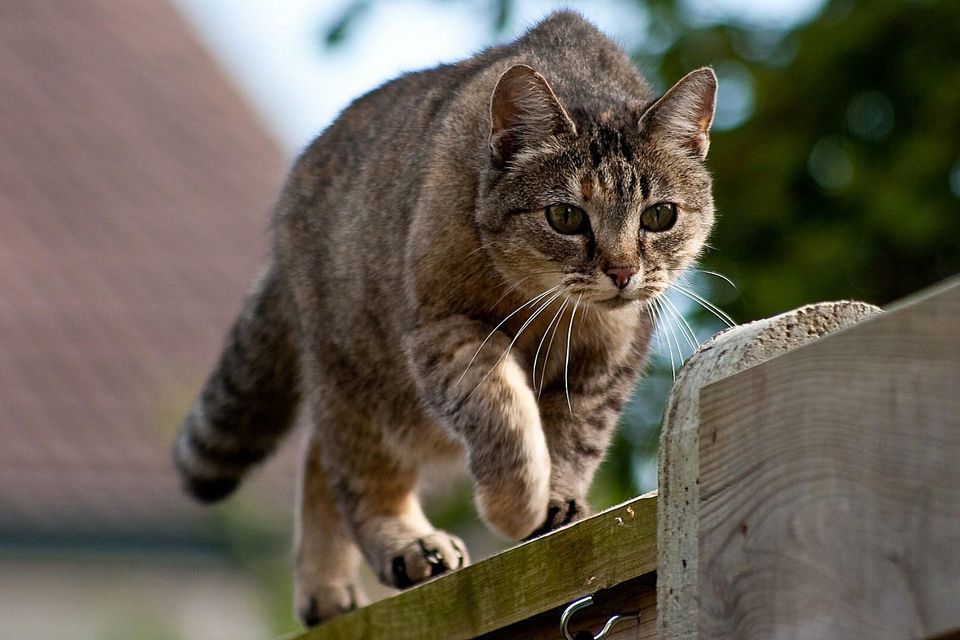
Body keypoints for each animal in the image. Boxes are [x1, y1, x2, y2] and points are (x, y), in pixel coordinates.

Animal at [172, 10, 716, 628]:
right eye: (565, 216)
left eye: (660, 215)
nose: (622, 271)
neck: (545, 305)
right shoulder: (445, 333)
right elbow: (504, 415)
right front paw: (515, 505)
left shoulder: (610, 358)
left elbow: (576, 437)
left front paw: (555, 503)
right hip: (363, 379)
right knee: (351, 472)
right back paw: (404, 545)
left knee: (318, 459)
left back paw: (325, 588)